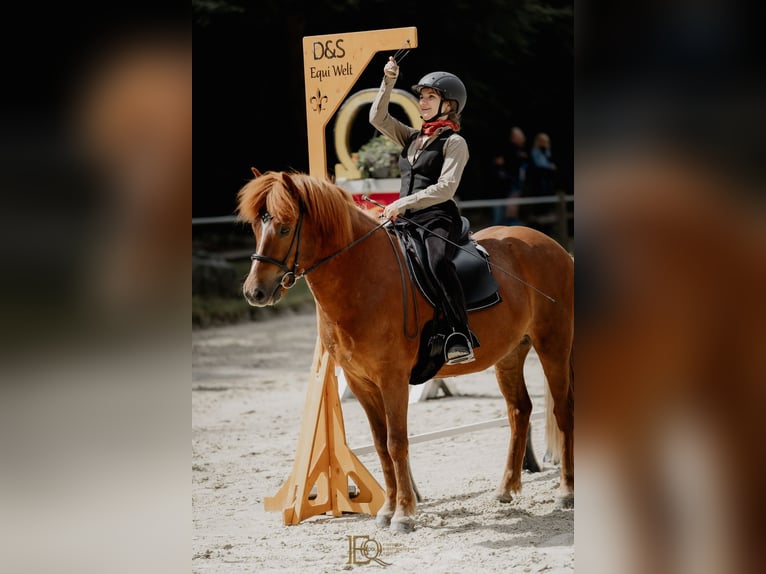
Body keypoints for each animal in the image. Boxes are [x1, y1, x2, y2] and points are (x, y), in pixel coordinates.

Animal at [240, 169, 576, 532]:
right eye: (257, 227)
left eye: (285, 227)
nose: (254, 292)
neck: (362, 276)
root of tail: (554, 247)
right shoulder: (361, 382)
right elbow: (380, 445)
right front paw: (387, 510)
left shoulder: (392, 379)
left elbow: (396, 442)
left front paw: (402, 514)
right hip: (510, 354)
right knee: (520, 411)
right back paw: (506, 489)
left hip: (553, 344)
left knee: (562, 411)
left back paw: (566, 492)